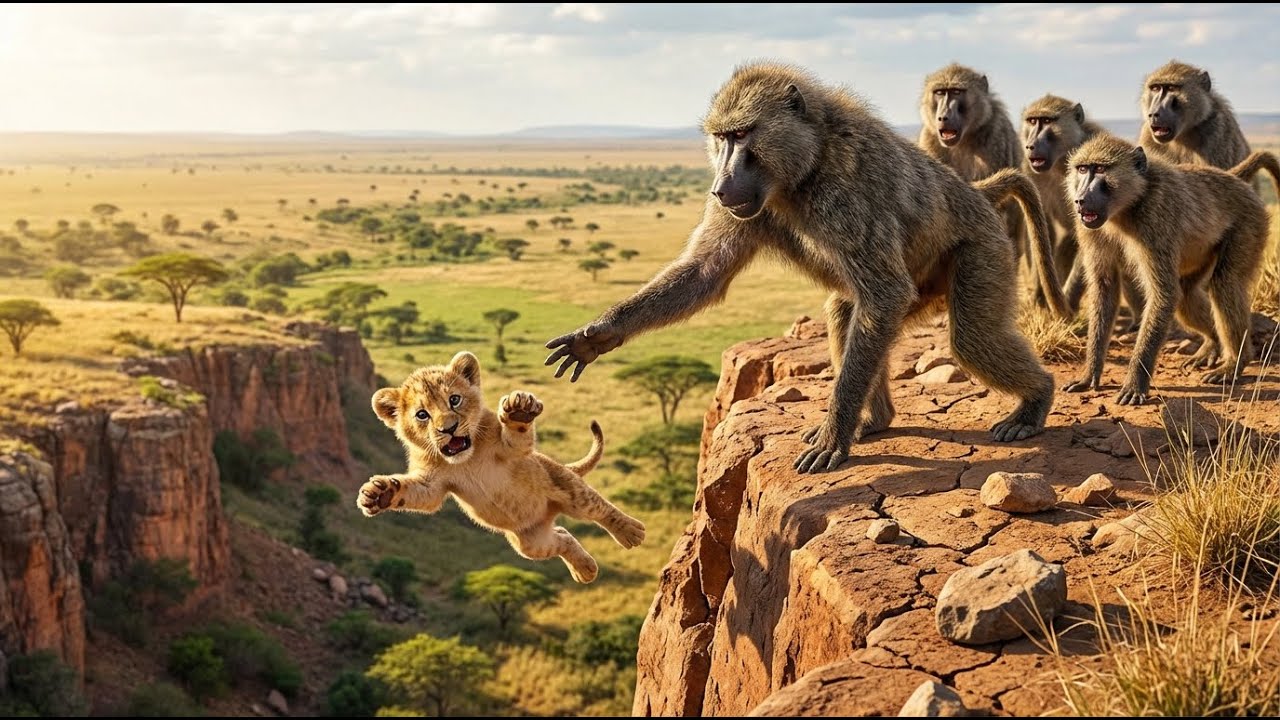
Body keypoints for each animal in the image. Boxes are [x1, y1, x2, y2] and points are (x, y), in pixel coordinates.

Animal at [357, 351, 645, 583]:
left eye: (454, 400)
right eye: (422, 415)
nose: (448, 428)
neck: (466, 459)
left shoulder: (512, 451)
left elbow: (518, 438)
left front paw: (519, 411)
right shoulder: (431, 484)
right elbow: (420, 495)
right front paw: (379, 494)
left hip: (566, 488)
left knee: (599, 508)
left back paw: (631, 533)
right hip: (531, 542)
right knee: (562, 536)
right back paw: (585, 570)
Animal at [1063, 135, 1271, 405]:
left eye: (1100, 169)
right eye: (1081, 169)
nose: (1080, 199)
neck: (1130, 203)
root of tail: (1235, 181)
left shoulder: (1156, 217)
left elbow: (1164, 294)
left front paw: (1134, 385)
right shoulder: (1089, 228)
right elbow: (1105, 289)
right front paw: (1089, 375)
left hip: (1250, 223)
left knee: (1224, 283)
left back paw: (1234, 364)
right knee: (1187, 296)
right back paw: (1212, 345)